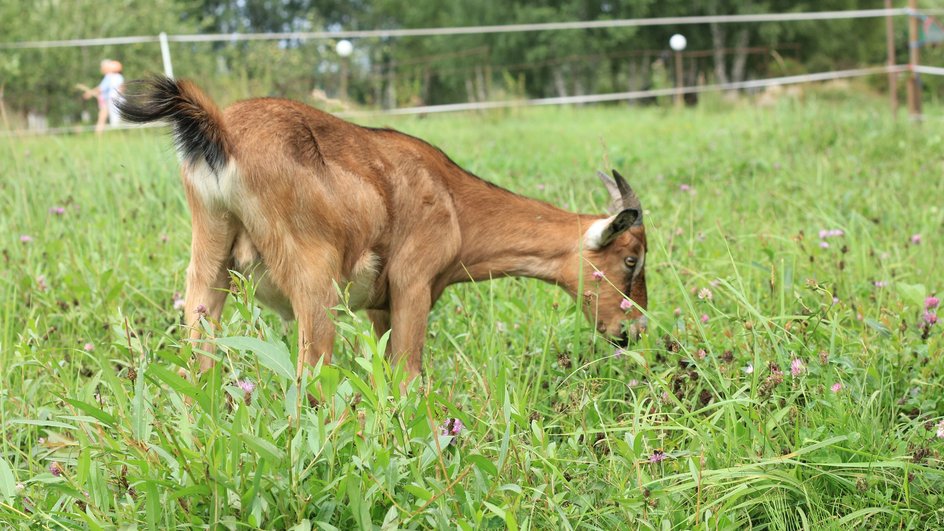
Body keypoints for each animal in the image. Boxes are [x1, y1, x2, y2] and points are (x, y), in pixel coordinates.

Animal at [116, 77, 648, 380]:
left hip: (209, 264)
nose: (633, 330)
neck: (454, 201)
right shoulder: (412, 284)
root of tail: (222, 131)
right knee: (311, 373)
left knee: (198, 359)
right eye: (630, 258)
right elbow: (407, 372)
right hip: (315, 280)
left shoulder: (379, 305)